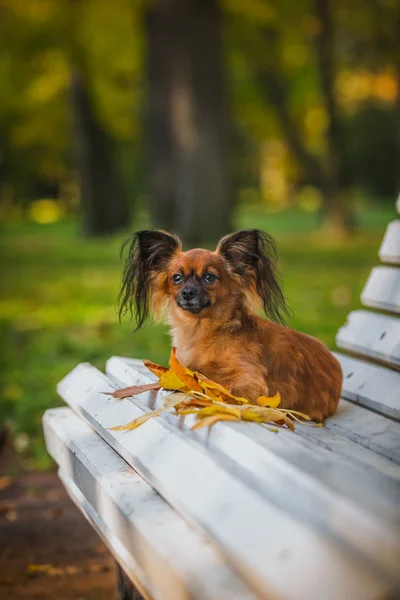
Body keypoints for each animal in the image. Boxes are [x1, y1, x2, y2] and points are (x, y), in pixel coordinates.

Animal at [117, 230, 342, 422]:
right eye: (177, 278)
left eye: (210, 277)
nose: (188, 292)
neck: (203, 330)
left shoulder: (252, 384)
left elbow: (213, 384)